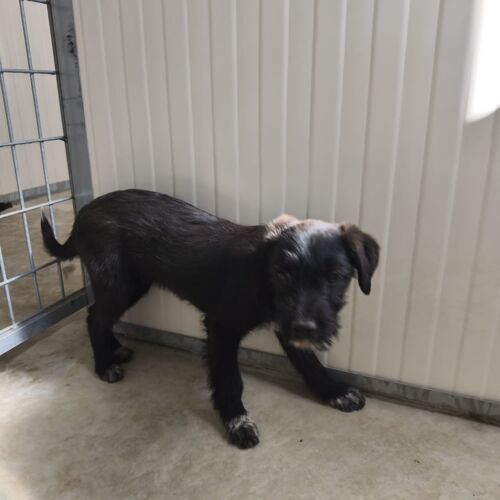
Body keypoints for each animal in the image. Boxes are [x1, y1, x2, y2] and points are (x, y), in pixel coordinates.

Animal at [41, 189, 379, 449]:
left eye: (335, 276)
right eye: (284, 274)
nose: (306, 327)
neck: (263, 276)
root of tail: (84, 212)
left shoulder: (286, 324)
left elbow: (309, 362)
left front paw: (333, 391)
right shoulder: (222, 328)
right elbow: (230, 379)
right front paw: (237, 422)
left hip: (133, 284)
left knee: (100, 316)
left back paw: (115, 349)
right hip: (117, 283)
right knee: (95, 318)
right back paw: (103, 365)